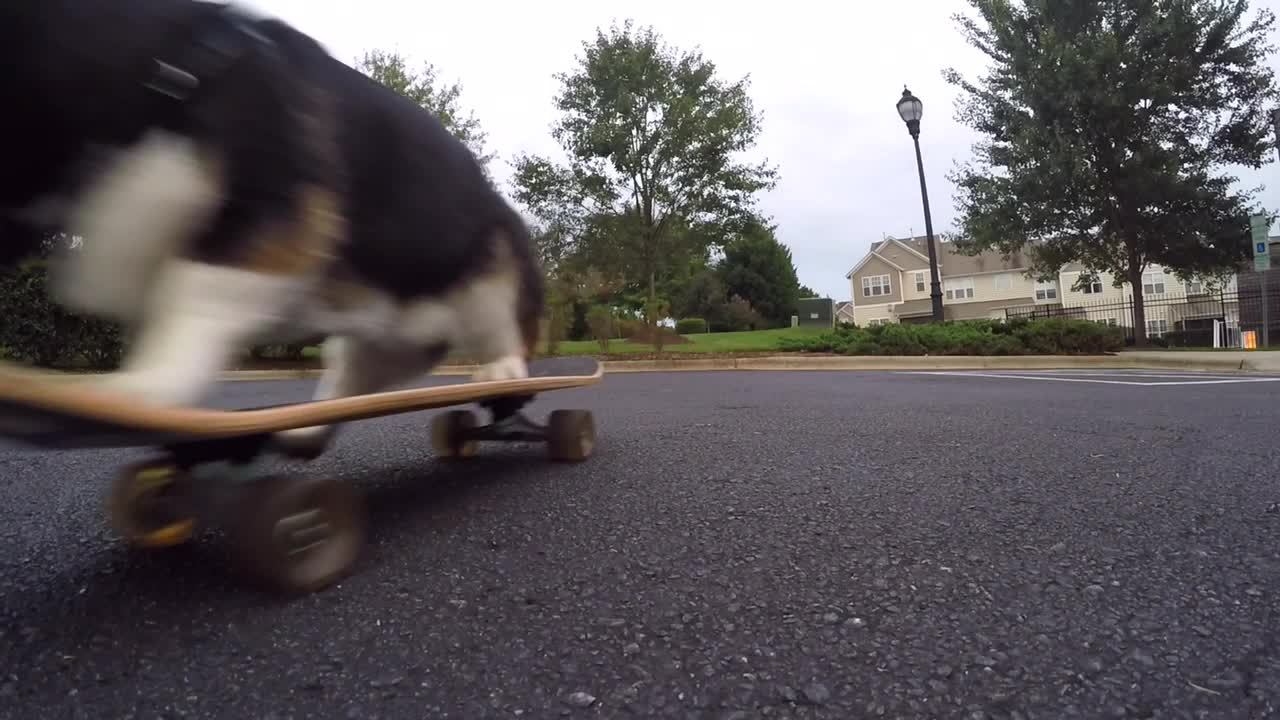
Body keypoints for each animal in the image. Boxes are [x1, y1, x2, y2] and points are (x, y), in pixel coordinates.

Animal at [0, 1, 545, 453]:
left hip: (496, 271)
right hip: (384, 336)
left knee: (507, 332)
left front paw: (142, 389)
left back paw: (502, 370)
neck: (167, 74)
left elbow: (195, 294)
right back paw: (306, 427)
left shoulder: (271, 224)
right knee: (351, 372)